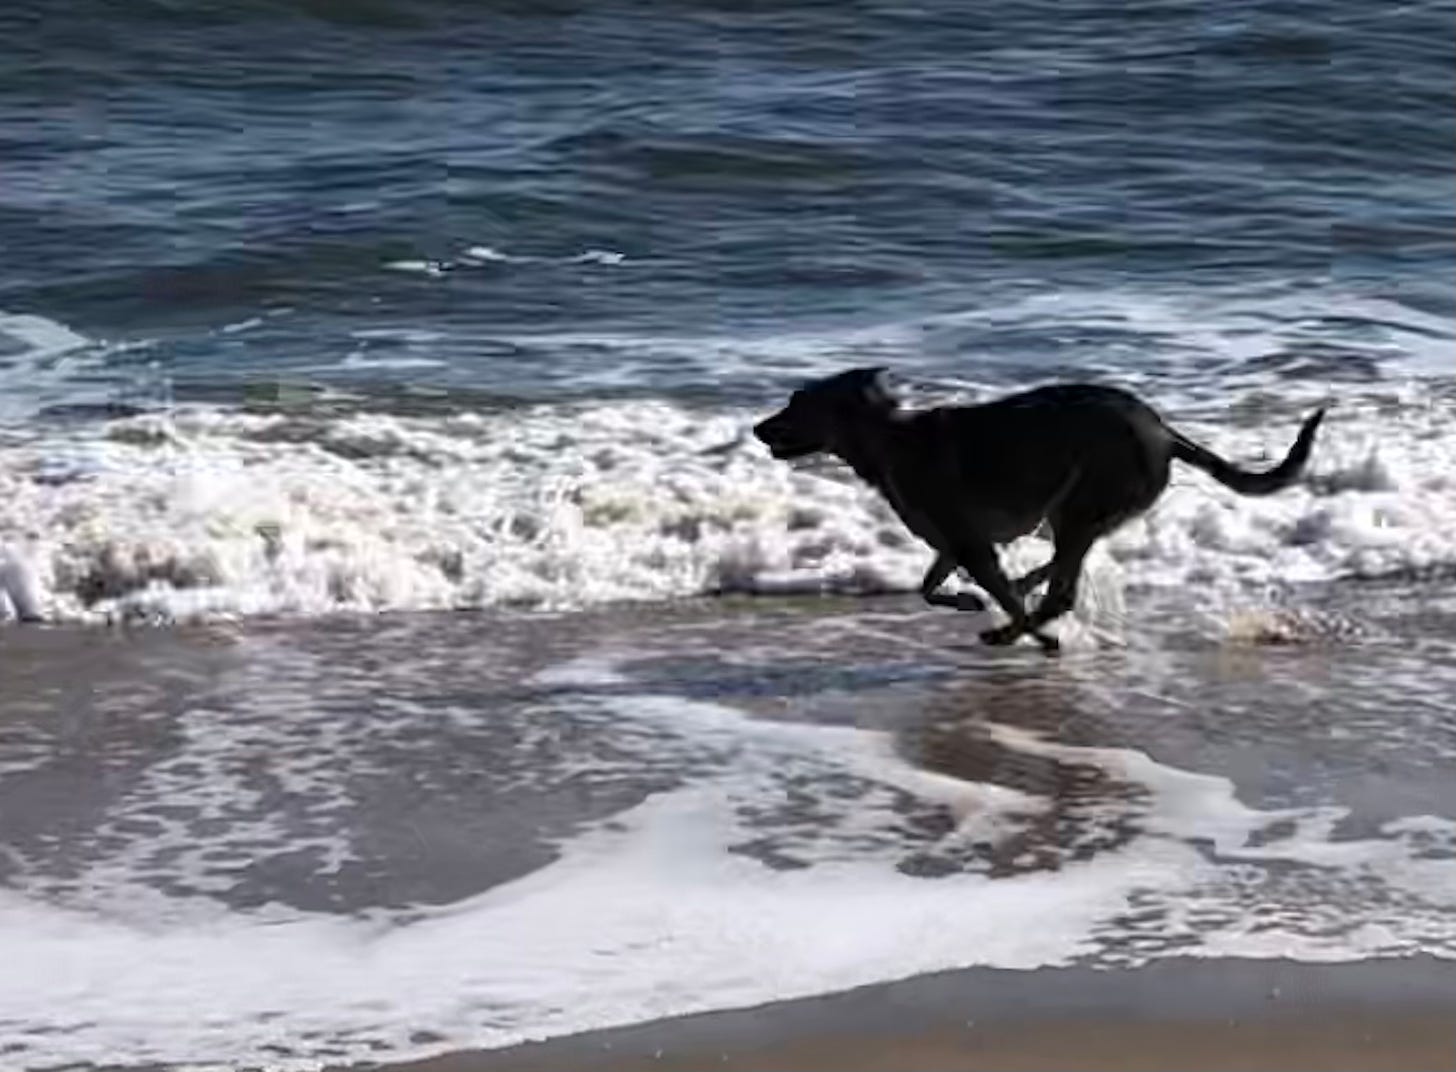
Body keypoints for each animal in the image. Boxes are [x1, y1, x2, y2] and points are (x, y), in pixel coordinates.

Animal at [757, 368, 1327, 652]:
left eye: (797, 403)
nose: (759, 429)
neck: (886, 439)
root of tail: (1164, 432)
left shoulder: (972, 546)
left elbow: (1002, 597)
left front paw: (1031, 634)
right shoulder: (956, 545)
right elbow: (930, 587)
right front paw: (967, 601)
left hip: (1082, 504)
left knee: (1062, 592)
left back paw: (1016, 627)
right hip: (1079, 513)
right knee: (1057, 574)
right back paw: (1026, 591)